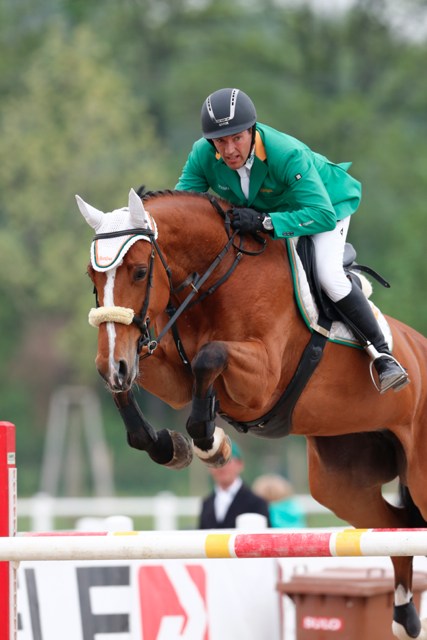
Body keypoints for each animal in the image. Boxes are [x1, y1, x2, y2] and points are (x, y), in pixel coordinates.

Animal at [77, 188, 427, 636]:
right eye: (93, 276)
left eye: (139, 272)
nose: (113, 365)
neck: (215, 281)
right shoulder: (171, 374)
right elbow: (148, 387)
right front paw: (171, 446)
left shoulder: (261, 381)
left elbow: (210, 357)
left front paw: (210, 443)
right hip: (341, 480)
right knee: (397, 525)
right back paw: (404, 614)